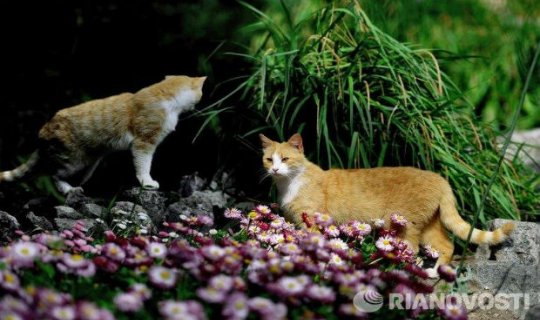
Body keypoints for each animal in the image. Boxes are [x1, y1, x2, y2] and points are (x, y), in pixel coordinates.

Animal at [0, 75, 207, 192]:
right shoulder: (143, 143)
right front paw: (147, 182)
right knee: (55, 175)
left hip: (89, 166)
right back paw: (69, 190)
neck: (166, 96)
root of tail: (42, 132)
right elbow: (143, 165)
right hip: (74, 161)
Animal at [260, 132, 516, 276]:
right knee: (446, 246)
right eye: (268, 159)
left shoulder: (311, 222)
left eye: (285, 159)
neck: (290, 183)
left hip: (406, 225)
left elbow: (308, 244)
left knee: (412, 250)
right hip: (428, 225)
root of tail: (441, 179)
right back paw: (433, 272)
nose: (275, 169)